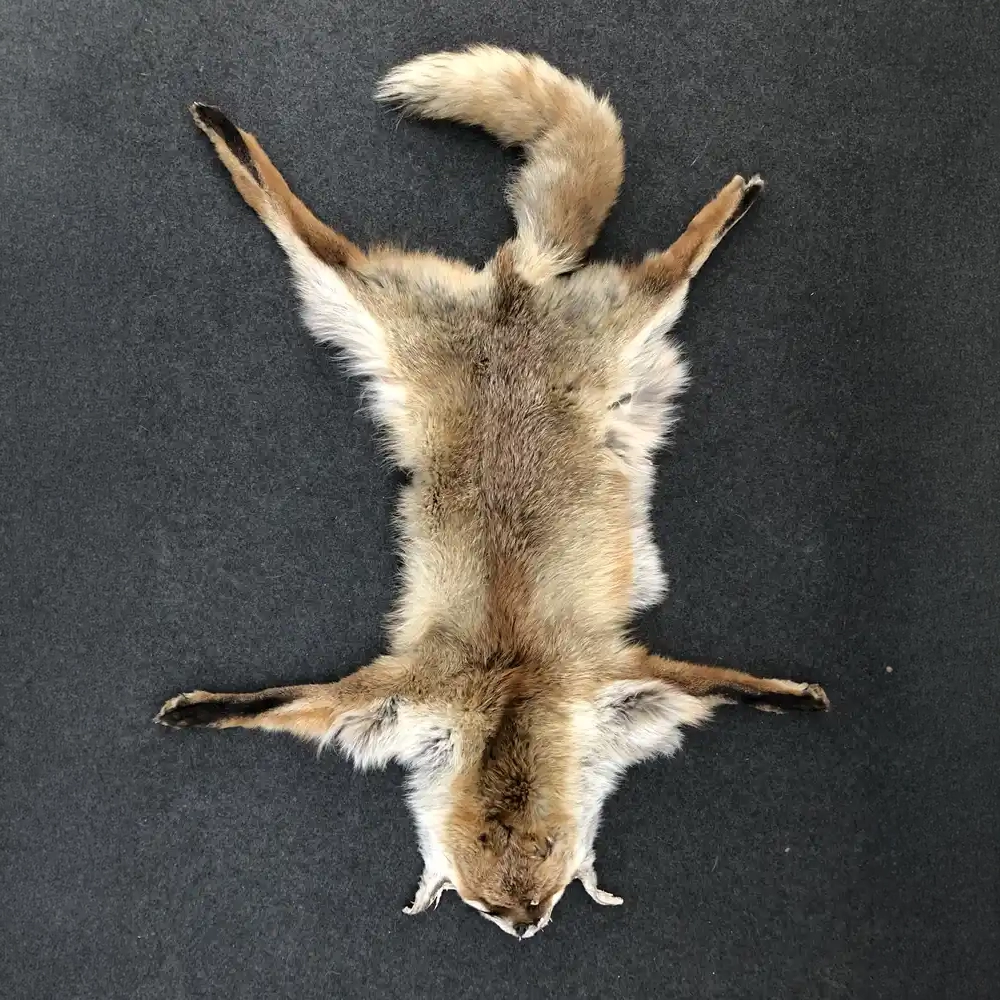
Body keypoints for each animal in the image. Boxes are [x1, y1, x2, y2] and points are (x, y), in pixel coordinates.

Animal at [156, 45, 829, 940]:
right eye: (488, 904)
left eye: (541, 893)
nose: (523, 930)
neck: (511, 685)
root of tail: (521, 283)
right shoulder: (406, 691)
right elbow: (274, 701)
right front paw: (200, 709)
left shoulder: (604, 676)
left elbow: (725, 683)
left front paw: (794, 696)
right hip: (371, 306)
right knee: (306, 229)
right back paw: (223, 131)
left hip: (551, 319)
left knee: (667, 264)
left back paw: (733, 200)